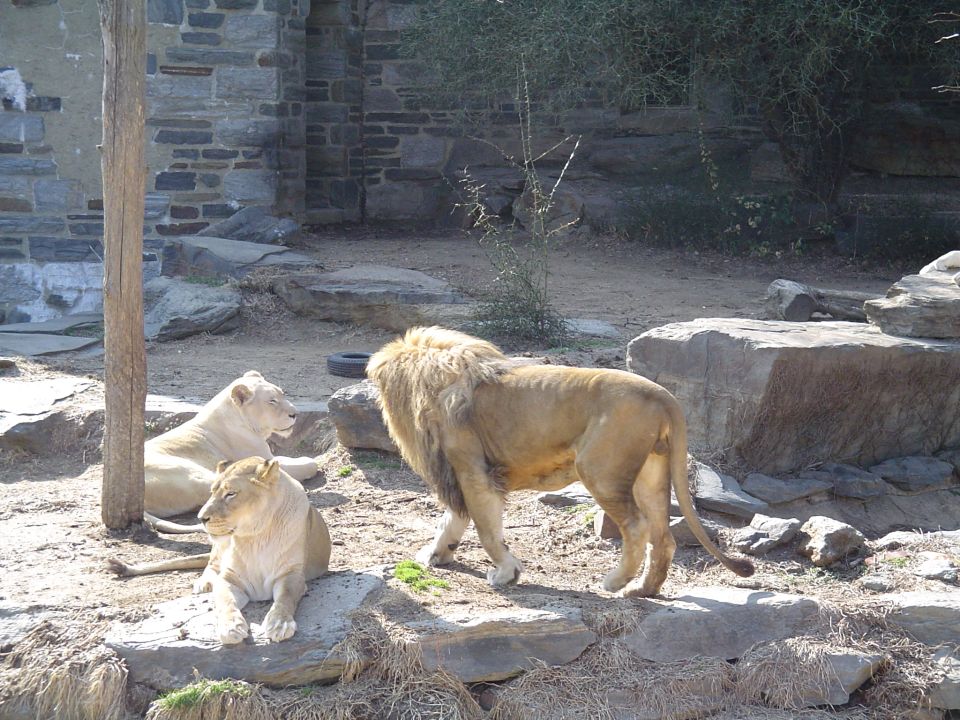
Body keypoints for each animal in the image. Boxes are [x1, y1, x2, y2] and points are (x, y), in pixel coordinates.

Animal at [109, 457, 331, 644]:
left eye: (230, 493)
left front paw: (279, 624)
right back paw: (204, 582)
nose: (201, 518)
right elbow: (226, 603)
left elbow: (285, 599)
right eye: (212, 492)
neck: (256, 537)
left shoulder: (291, 575)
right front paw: (231, 627)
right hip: (218, 549)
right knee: (211, 564)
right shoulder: (229, 579)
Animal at [366, 326, 754, 598]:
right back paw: (642, 590)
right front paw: (437, 554)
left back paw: (615, 582)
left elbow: (486, 528)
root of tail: (663, 394)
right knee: (663, 538)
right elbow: (454, 520)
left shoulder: (472, 470)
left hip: (599, 469)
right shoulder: (461, 473)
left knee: (636, 528)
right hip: (651, 474)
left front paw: (506, 573)